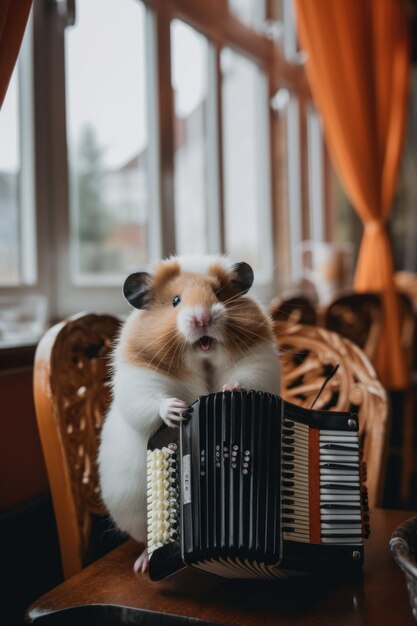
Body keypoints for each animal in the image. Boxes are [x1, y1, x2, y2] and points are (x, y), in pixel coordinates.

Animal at [97, 254, 280, 572]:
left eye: (218, 294)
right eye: (176, 301)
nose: (202, 318)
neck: (202, 361)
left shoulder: (258, 362)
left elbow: (246, 378)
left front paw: (231, 389)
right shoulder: (138, 379)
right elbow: (151, 400)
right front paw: (177, 409)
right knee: (145, 539)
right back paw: (142, 565)